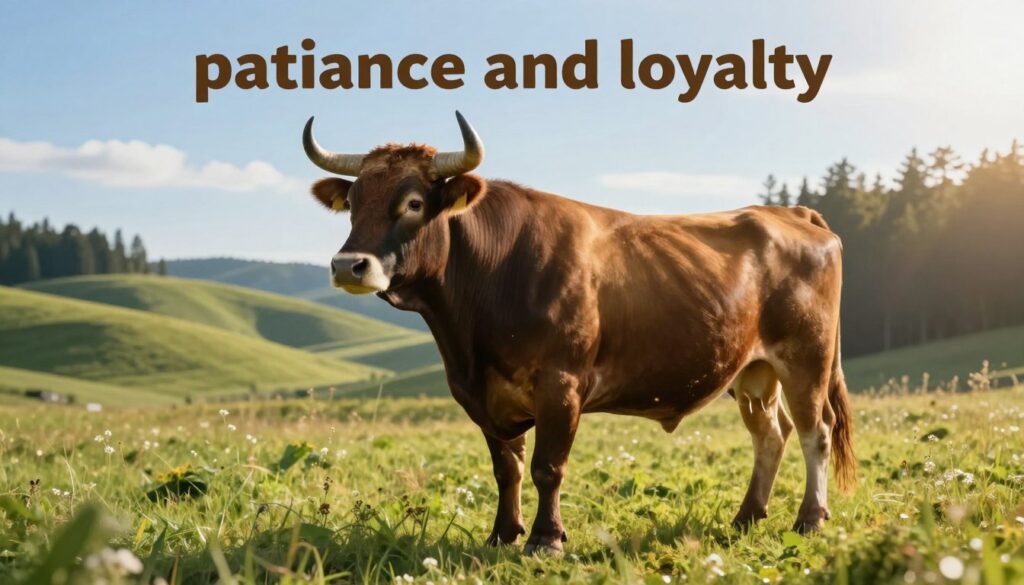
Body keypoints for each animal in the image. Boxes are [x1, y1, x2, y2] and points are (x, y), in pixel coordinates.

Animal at [301, 112, 854, 555]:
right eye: (352, 202)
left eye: (413, 203)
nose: (348, 265)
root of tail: (787, 212)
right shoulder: (481, 394)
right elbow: (507, 468)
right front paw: (503, 534)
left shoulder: (560, 384)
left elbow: (548, 466)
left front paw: (546, 540)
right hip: (753, 369)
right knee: (771, 434)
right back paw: (747, 517)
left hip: (806, 357)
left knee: (816, 431)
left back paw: (809, 519)